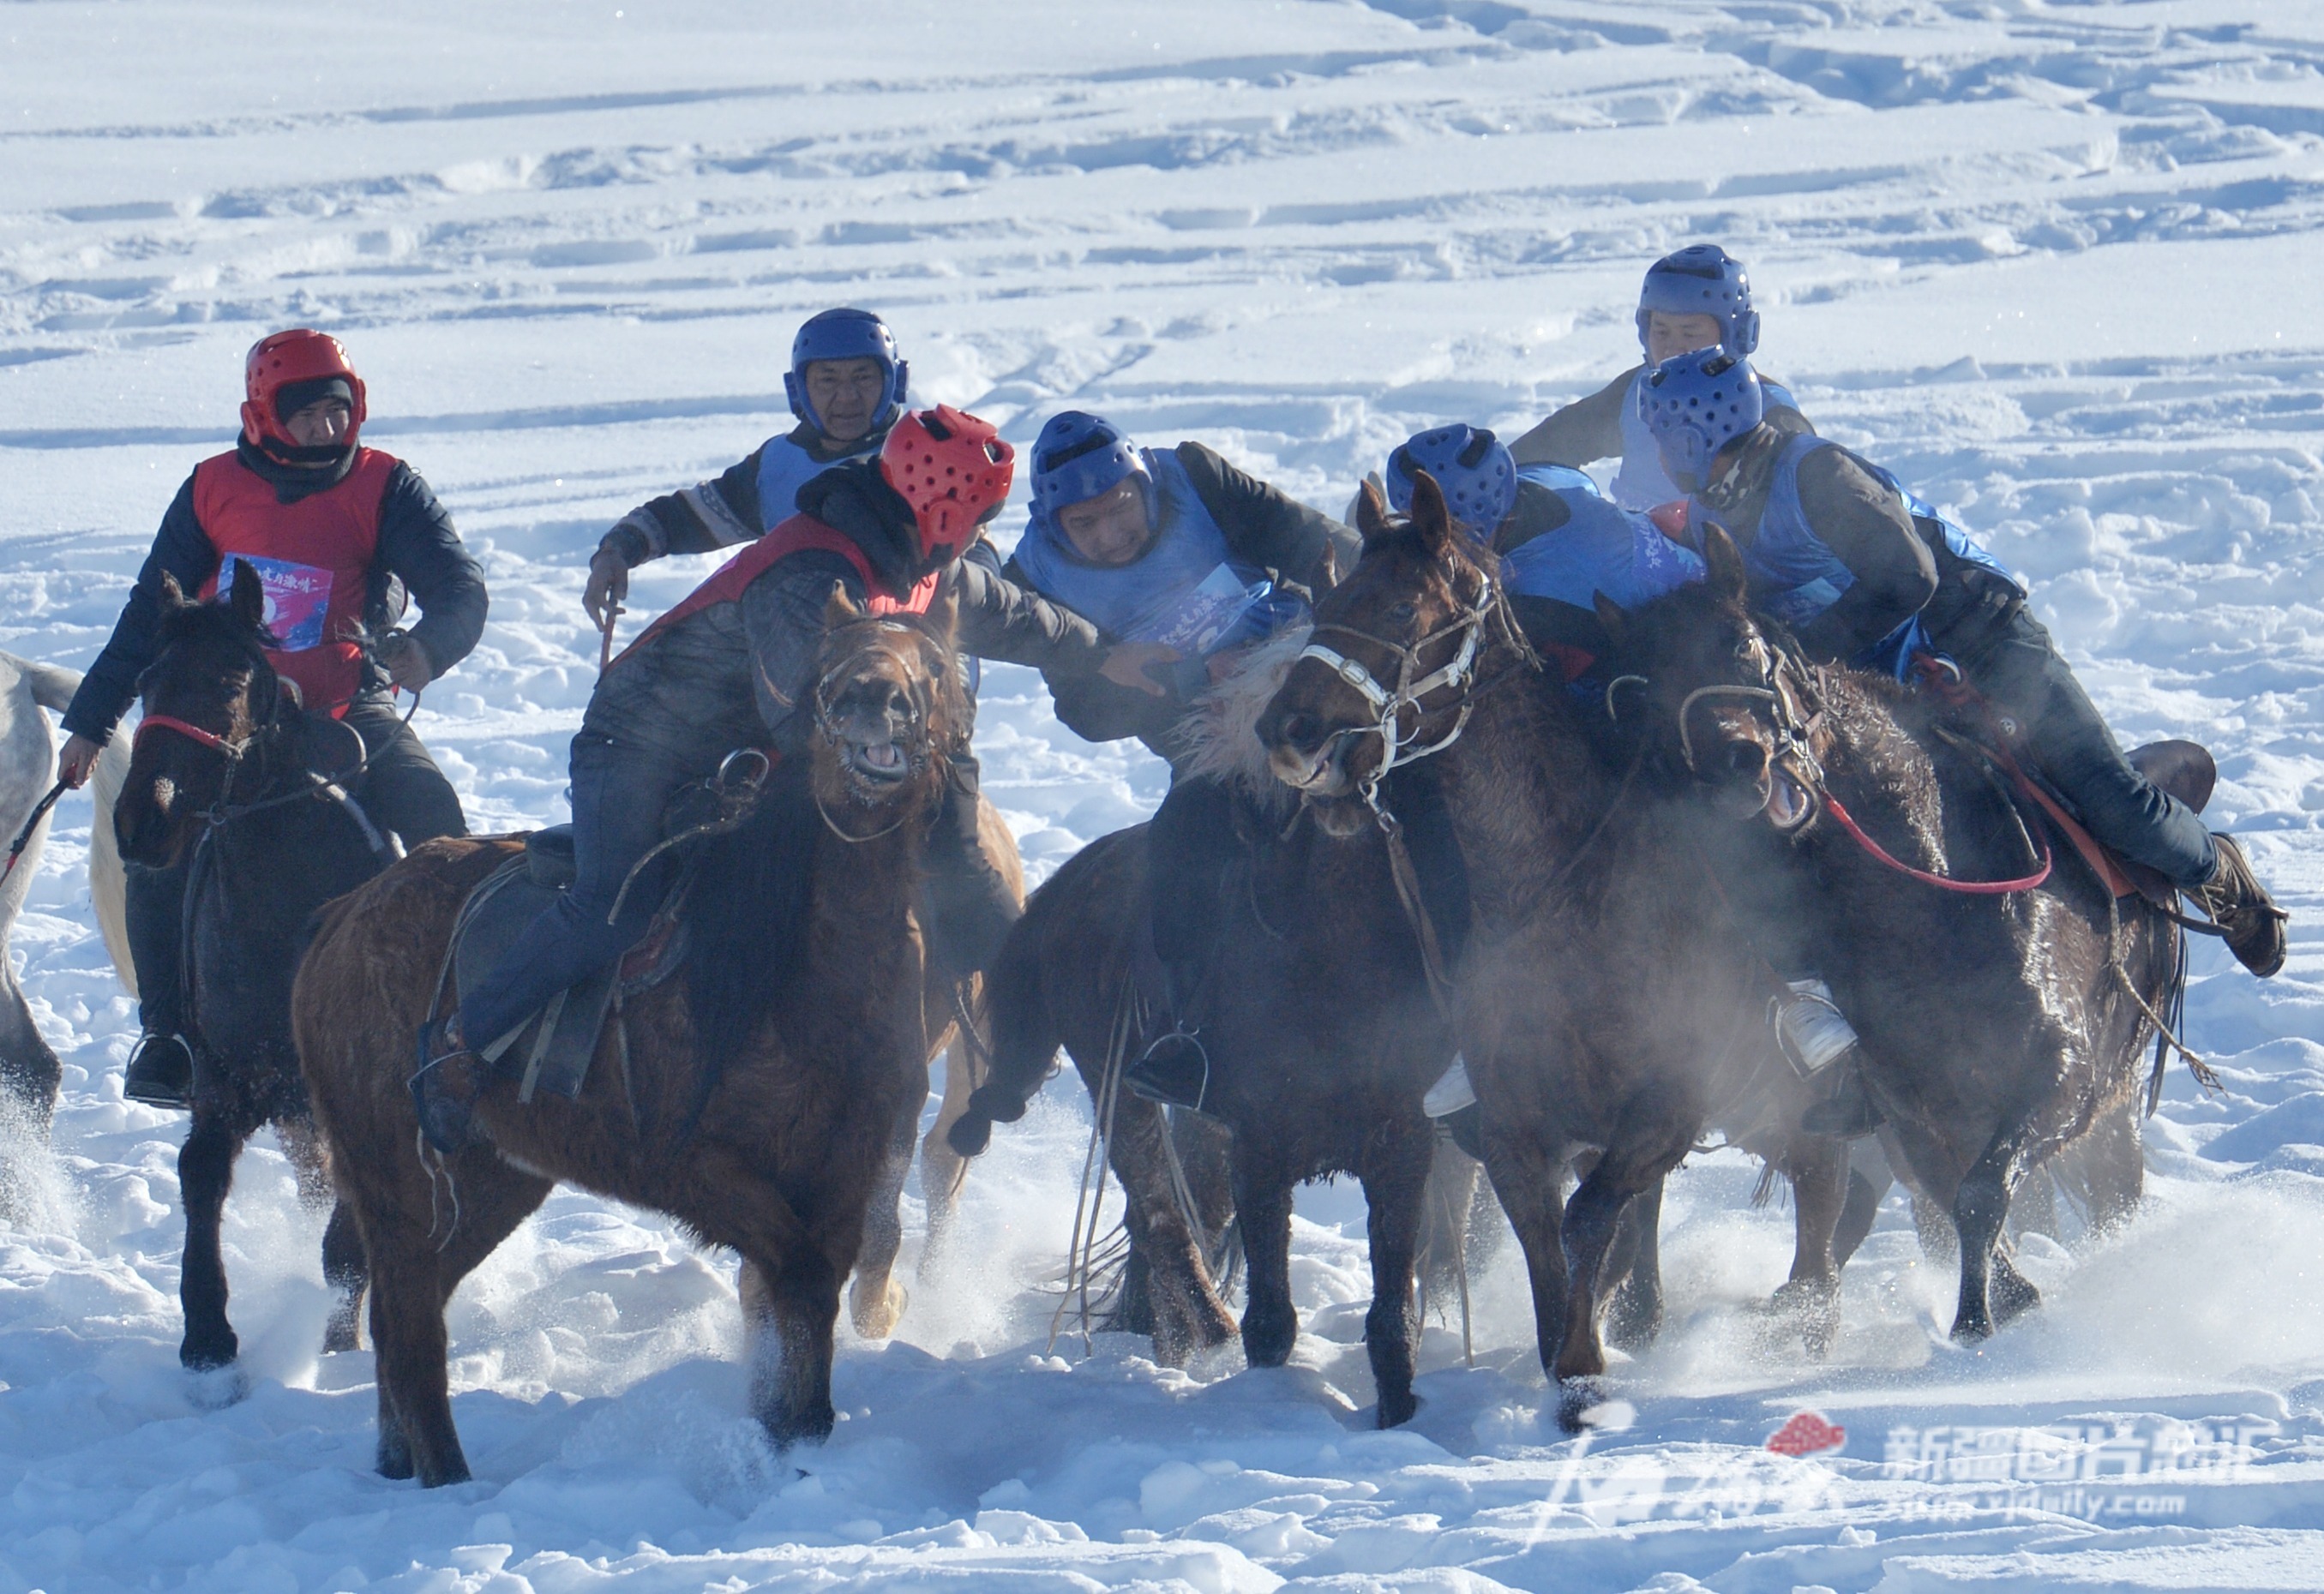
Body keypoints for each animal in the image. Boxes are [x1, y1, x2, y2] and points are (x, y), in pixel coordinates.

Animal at [109, 569, 378, 1375]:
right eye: (146, 681)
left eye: (230, 679)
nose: (142, 822)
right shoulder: (228, 1076)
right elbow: (199, 1173)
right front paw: (207, 1336)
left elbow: (348, 1238)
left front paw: (340, 1344)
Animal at [297, 592, 971, 1496]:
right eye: (829, 663)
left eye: (932, 667)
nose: (875, 698)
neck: (801, 968)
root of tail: (340, 919)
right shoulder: (690, 1166)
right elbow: (792, 1277)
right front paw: (788, 1436)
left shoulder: (848, 1163)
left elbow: (813, 1294)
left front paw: (799, 1436)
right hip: (391, 1180)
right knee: (406, 1330)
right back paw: (448, 1481)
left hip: (491, 1180)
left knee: (413, 1309)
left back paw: (400, 1461)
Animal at [1254, 481, 1849, 1431]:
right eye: (1329, 598)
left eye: (1399, 608)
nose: (1289, 730)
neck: (1561, 895)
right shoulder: (1512, 1124)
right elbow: (1546, 1236)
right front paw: (1569, 1360)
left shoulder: (1666, 1104)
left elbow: (1583, 1222)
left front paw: (1583, 1367)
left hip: (1783, 1097)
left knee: (1819, 1186)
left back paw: (1805, 1321)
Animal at [1599, 536, 2175, 1347]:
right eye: (1649, 693)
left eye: (1742, 644)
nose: (1732, 764)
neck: (1926, 907)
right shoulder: (1911, 1116)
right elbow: (1965, 1201)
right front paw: (1994, 1311)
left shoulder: (2065, 1072)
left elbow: (1981, 1193)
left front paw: (1975, 1326)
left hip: (2111, 1108)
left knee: (2104, 1196)